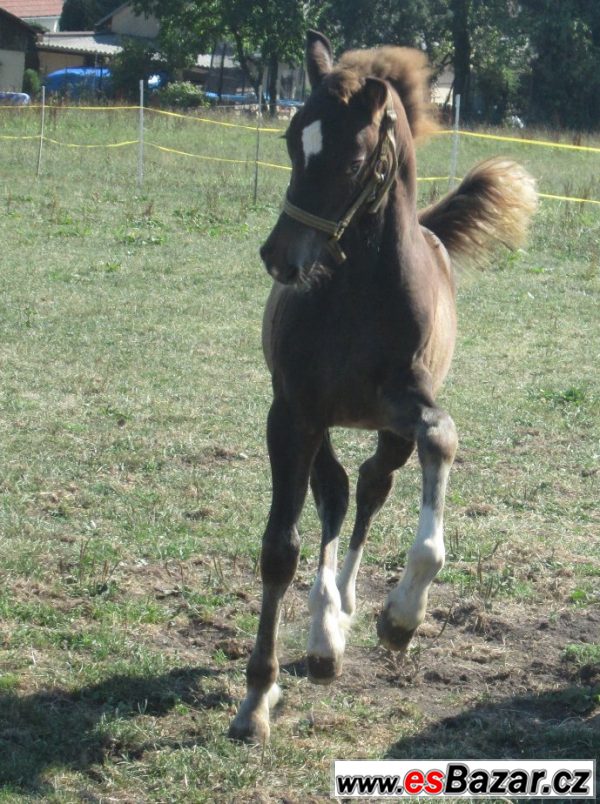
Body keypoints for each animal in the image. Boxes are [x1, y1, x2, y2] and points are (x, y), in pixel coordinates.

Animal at [227, 33, 536, 748]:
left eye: (355, 156)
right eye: (292, 139)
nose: (282, 257)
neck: (355, 292)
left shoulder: (405, 407)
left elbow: (442, 441)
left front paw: (401, 617)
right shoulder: (294, 414)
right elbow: (280, 549)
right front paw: (256, 698)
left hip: (385, 432)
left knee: (368, 489)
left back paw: (341, 615)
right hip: (324, 425)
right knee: (337, 494)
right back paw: (323, 637)